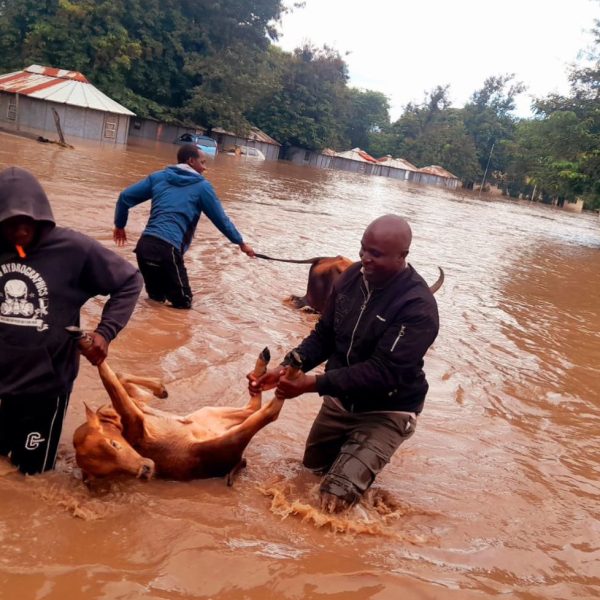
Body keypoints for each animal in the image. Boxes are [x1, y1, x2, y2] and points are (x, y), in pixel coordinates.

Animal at [72, 332, 300, 482]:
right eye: (113, 471)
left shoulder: (135, 406)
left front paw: (160, 388)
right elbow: (112, 382)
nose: (146, 471)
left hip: (209, 412)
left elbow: (118, 378)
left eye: (114, 444)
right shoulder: (135, 418)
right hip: (226, 439)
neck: (117, 424)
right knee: (267, 412)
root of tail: (238, 461)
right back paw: (289, 374)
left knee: (253, 404)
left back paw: (265, 369)